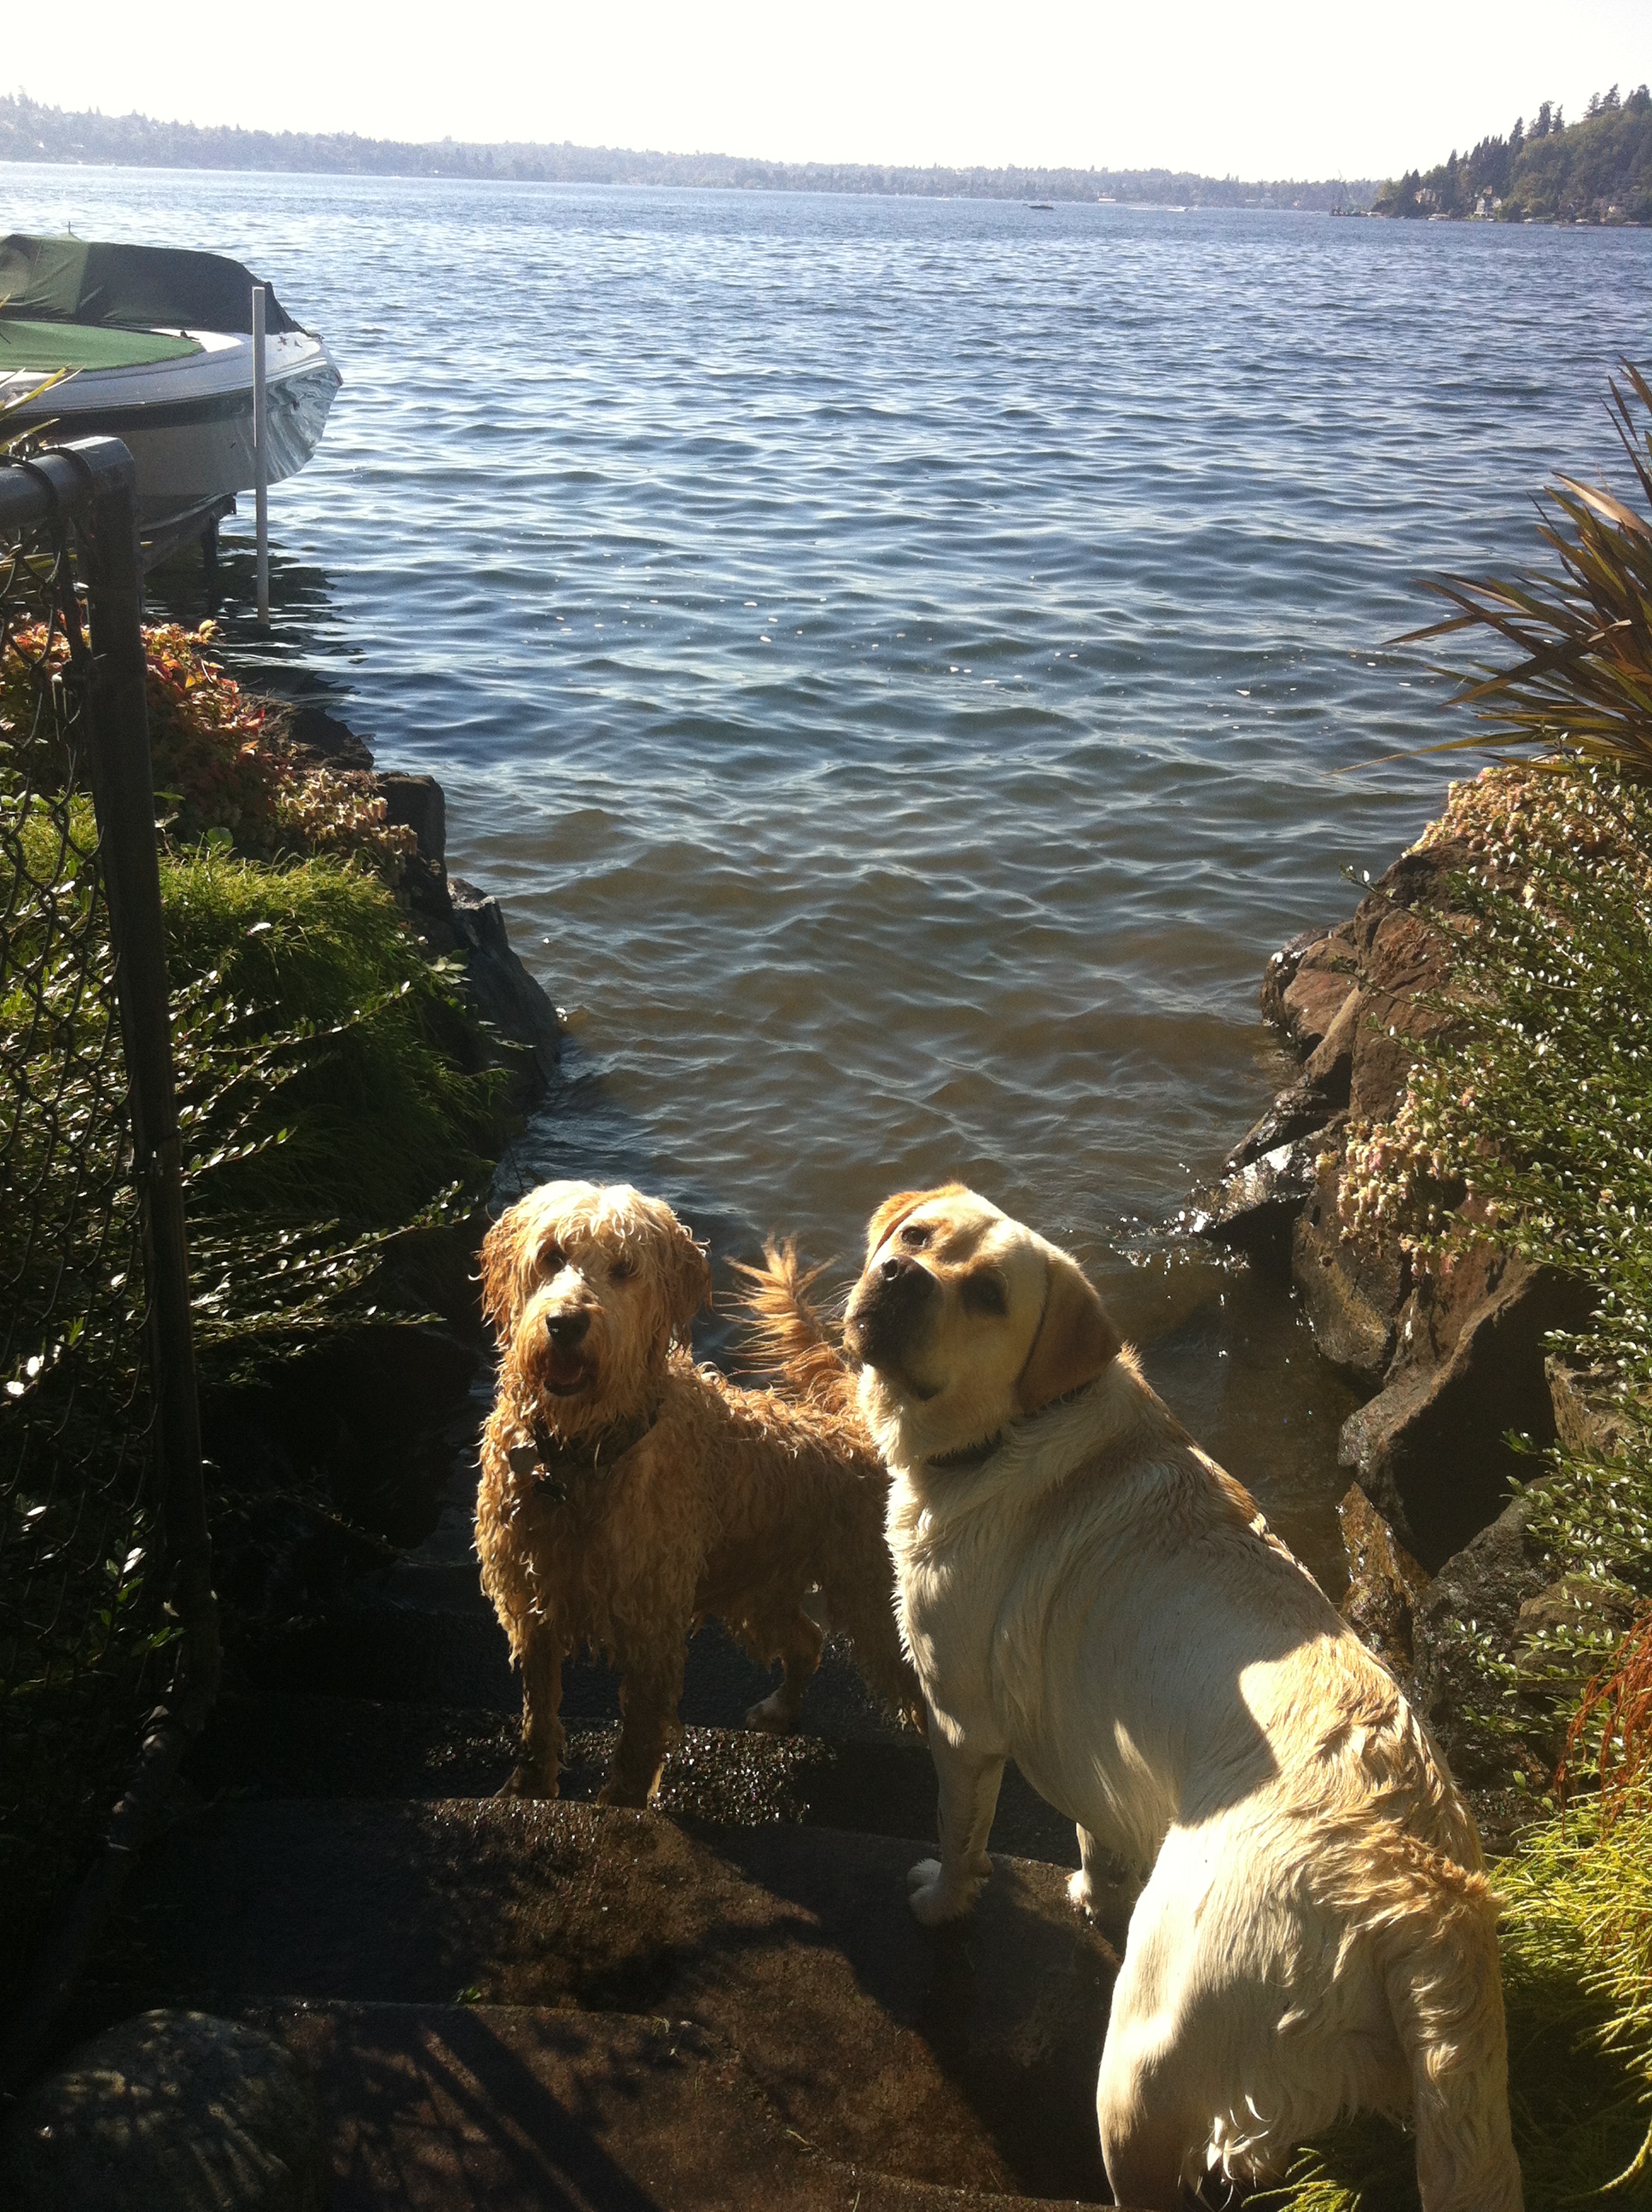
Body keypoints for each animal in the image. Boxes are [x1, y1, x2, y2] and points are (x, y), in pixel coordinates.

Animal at [474, 1178, 918, 1805]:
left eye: (624, 1268)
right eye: (552, 1256)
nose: (565, 1323)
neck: (579, 1458)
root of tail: (854, 1429)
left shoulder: (652, 1631)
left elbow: (639, 1740)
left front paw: (621, 1806)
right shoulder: (531, 1606)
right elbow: (539, 1714)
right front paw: (530, 1785)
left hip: (870, 1603)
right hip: (757, 1588)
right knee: (806, 1641)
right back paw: (781, 1710)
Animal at [841, 1183, 1521, 2212]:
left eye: (991, 1295)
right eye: (917, 1235)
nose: (896, 1273)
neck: (1017, 1431)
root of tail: (1419, 1908)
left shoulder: (959, 1725)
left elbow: (961, 1841)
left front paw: (940, 1901)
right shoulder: (1094, 1750)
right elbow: (1096, 1834)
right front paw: (1090, 1891)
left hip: (1146, 2055)